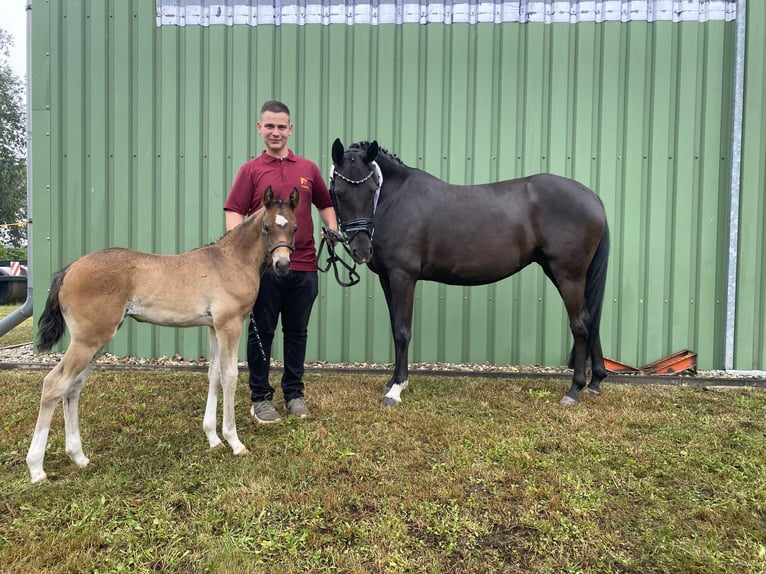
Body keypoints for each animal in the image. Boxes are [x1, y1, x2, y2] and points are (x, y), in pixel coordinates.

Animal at [26, 187, 299, 484]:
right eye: (266, 227)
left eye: (294, 227)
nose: (283, 265)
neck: (231, 261)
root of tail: (69, 269)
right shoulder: (230, 325)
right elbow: (229, 376)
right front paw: (234, 442)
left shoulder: (214, 327)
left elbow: (213, 375)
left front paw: (213, 438)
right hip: (88, 339)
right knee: (54, 384)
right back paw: (37, 469)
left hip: (95, 341)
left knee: (73, 387)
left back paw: (79, 457)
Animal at [330, 139, 610, 407]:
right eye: (339, 193)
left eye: (372, 189)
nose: (361, 250)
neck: (395, 201)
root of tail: (593, 197)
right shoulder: (386, 278)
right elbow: (394, 327)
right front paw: (391, 382)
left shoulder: (403, 276)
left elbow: (402, 331)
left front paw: (397, 390)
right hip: (561, 273)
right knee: (591, 319)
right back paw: (595, 382)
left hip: (568, 276)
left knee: (580, 324)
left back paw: (574, 390)